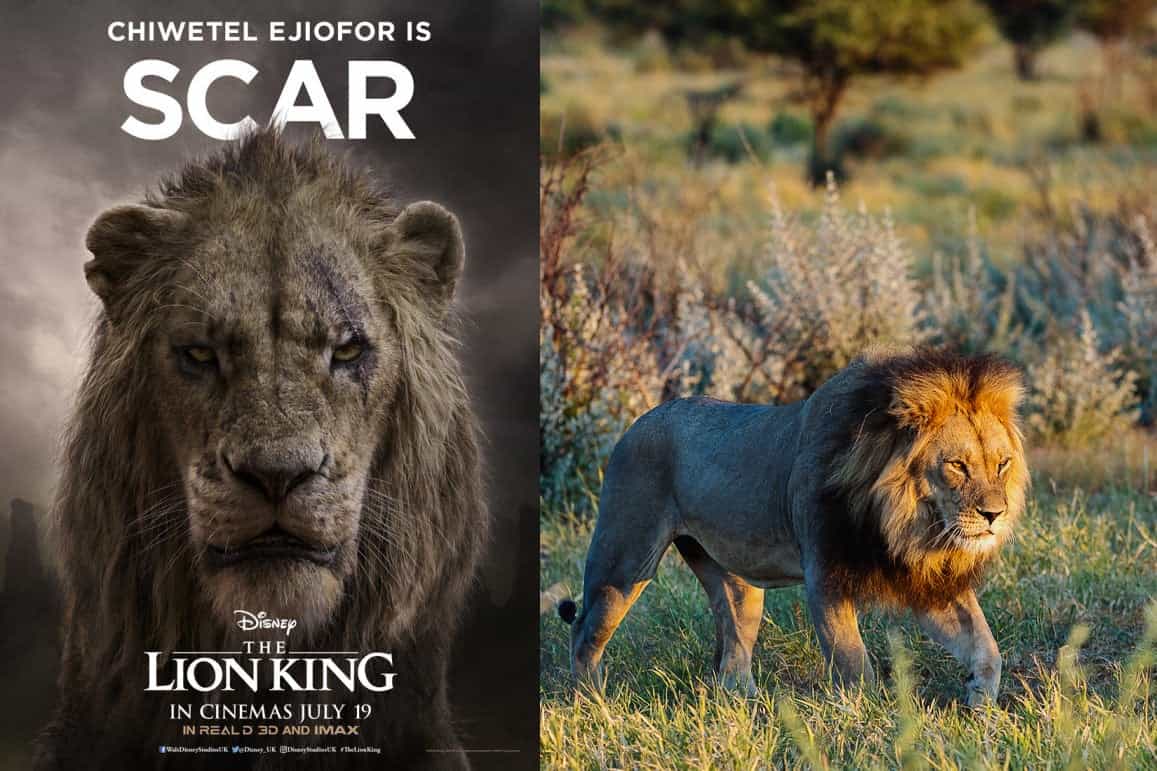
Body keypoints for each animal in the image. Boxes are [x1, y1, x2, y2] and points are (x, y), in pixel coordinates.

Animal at [559, 348, 1027, 706]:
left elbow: (986, 647)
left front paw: (981, 705)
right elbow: (853, 662)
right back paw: (594, 704)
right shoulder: (825, 575)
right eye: (957, 465)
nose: (994, 515)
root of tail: (637, 422)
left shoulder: (925, 581)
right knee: (584, 634)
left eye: (1002, 464)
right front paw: (870, 719)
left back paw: (749, 707)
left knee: (731, 654)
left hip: (733, 581)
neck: (904, 524)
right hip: (625, 559)